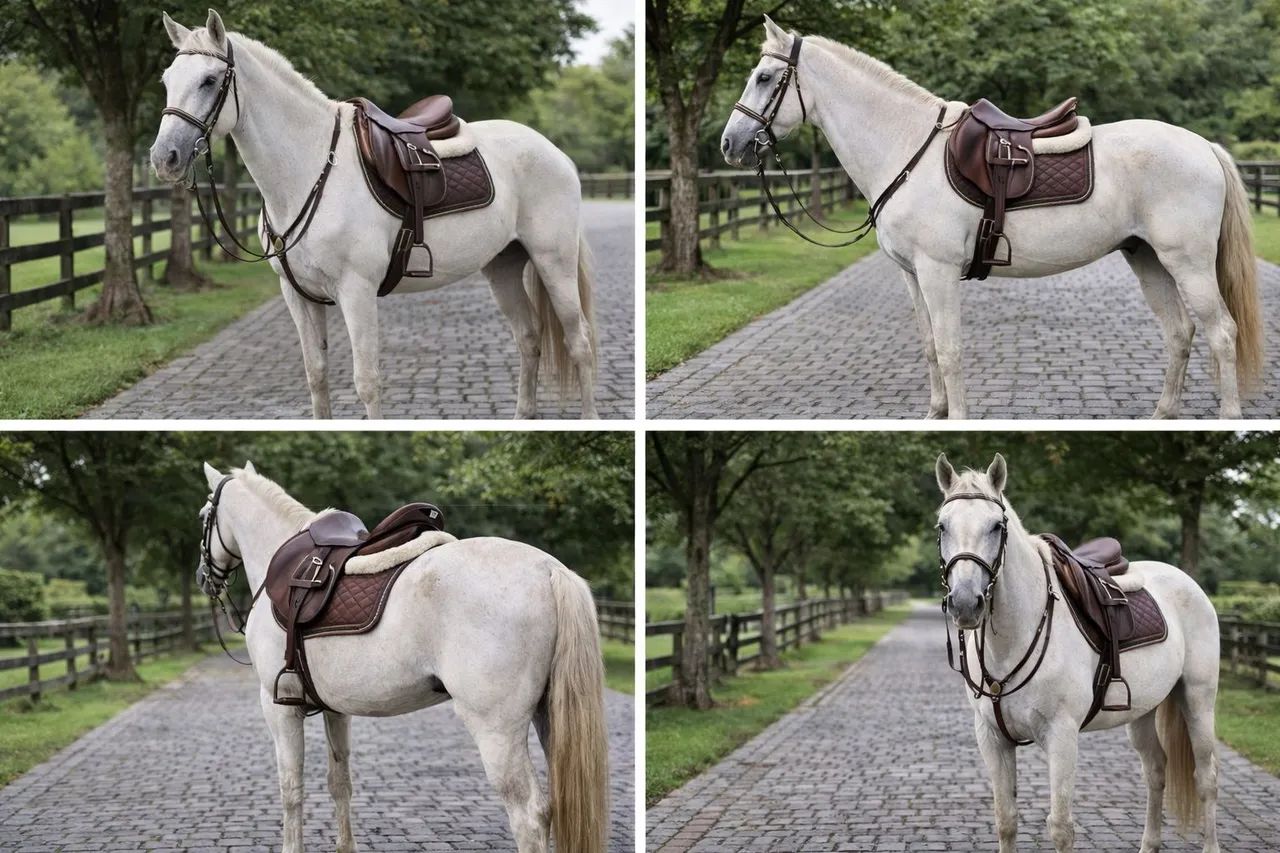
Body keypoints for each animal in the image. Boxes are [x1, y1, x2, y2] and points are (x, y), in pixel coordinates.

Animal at [151, 10, 599, 420]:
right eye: (168, 80)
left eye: (210, 80)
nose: (164, 157)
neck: (312, 168)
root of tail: (554, 152)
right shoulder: (298, 296)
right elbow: (316, 375)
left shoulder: (357, 291)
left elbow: (366, 381)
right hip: (503, 265)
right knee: (529, 337)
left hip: (553, 262)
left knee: (579, 341)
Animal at [196, 461, 608, 853]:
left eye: (204, 516)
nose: (203, 577)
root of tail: (549, 570)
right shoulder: (335, 709)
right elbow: (339, 782)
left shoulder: (278, 706)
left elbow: (290, 788)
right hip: (548, 715)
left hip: (497, 730)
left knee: (529, 815)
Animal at [721, 17, 1263, 420]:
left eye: (765, 78)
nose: (730, 143)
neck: (907, 147)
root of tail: (1204, 147)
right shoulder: (912, 275)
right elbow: (930, 347)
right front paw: (935, 414)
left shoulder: (938, 272)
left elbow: (951, 349)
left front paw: (956, 419)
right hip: (1147, 258)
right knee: (1180, 333)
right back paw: (1162, 414)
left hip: (1187, 263)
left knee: (1221, 333)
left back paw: (1226, 416)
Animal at [934, 453, 1220, 853]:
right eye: (942, 526)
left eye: (996, 526)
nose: (964, 603)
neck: (1012, 640)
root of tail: (1187, 582)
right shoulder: (992, 738)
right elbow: (1006, 820)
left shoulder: (1062, 735)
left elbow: (1060, 827)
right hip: (1143, 711)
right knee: (1156, 771)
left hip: (1197, 699)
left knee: (1206, 777)